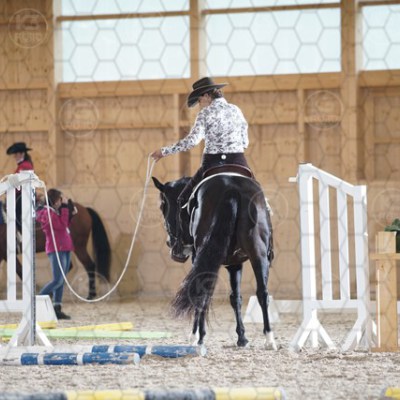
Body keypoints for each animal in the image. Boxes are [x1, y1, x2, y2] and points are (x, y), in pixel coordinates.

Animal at [152, 174, 277, 349]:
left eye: (163, 205)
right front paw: (242, 338)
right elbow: (235, 298)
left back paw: (197, 338)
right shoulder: (235, 265)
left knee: (202, 294)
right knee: (263, 293)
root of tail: (232, 189)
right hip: (258, 255)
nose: (170, 244)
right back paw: (269, 339)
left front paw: (197, 336)